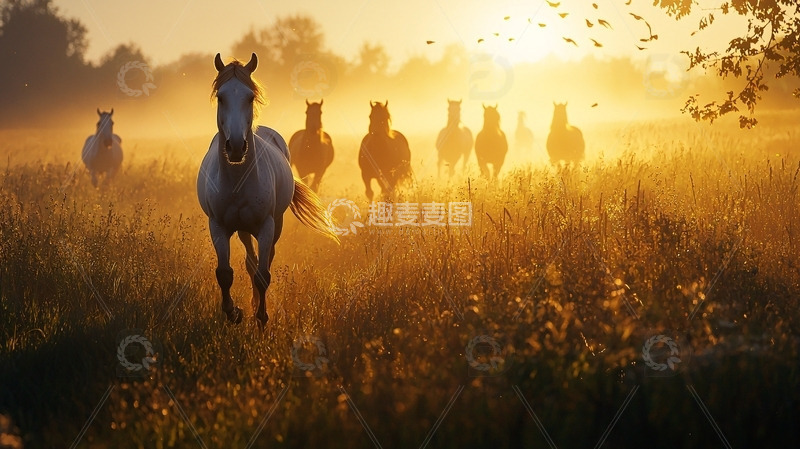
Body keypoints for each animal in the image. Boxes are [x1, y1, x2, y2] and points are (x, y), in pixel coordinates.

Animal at [197, 53, 338, 326]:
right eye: (221, 97)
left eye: (250, 97)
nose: (236, 147)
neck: (237, 179)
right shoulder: (217, 226)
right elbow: (225, 273)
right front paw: (233, 313)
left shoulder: (266, 225)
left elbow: (263, 274)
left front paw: (261, 317)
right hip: (242, 229)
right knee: (250, 261)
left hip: (275, 224)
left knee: (264, 260)